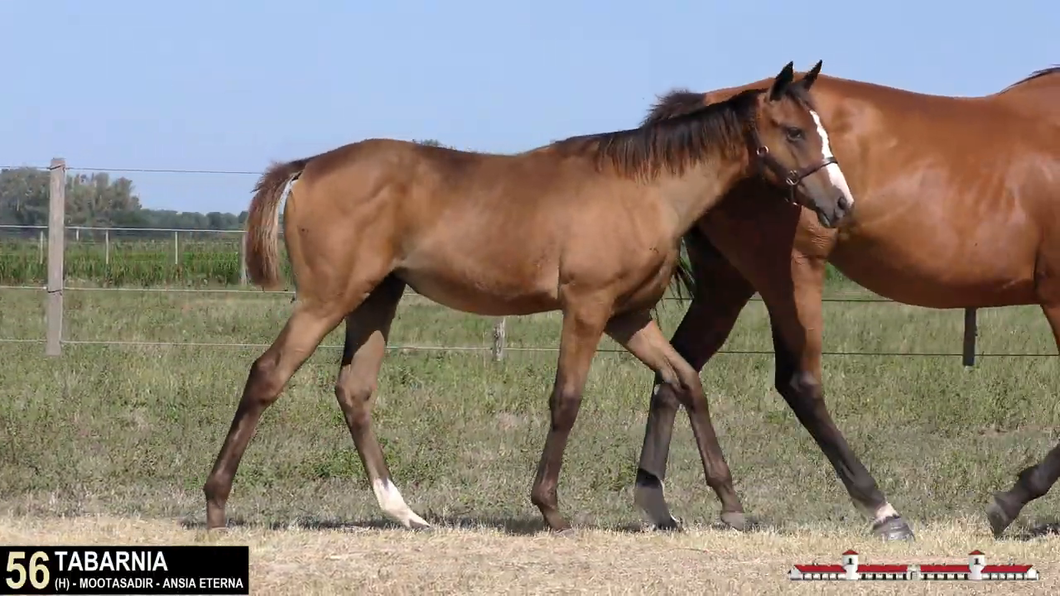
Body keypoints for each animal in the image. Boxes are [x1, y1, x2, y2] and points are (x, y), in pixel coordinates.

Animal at [200, 62, 860, 530]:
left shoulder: (629, 318)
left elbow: (687, 382)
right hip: (327, 300)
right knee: (267, 374)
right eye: (794, 131)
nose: (841, 204)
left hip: (375, 299)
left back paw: (403, 512)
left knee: (353, 391)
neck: (641, 190)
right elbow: (566, 399)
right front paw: (550, 508)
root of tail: (309, 164)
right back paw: (216, 504)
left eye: (822, 129)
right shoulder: (587, 310)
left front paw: (729, 502)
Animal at [627, 63, 1060, 538]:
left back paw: (662, 501)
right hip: (790, 273)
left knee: (676, 369)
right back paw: (883, 510)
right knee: (799, 384)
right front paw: (1009, 503)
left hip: (726, 284)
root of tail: (705, 103)